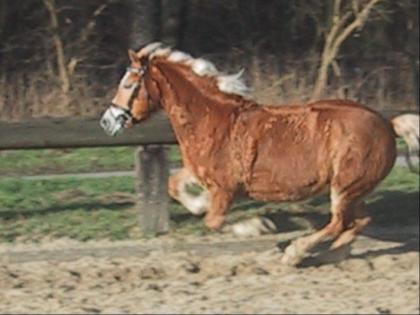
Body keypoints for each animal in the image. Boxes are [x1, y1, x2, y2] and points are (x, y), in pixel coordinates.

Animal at [101, 43, 410, 266]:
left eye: (128, 84)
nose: (107, 121)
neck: (212, 120)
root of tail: (388, 124)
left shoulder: (225, 189)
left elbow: (213, 222)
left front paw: (259, 226)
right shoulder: (201, 173)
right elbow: (174, 186)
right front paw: (201, 203)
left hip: (345, 187)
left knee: (338, 223)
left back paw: (296, 253)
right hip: (355, 190)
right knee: (357, 222)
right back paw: (328, 255)